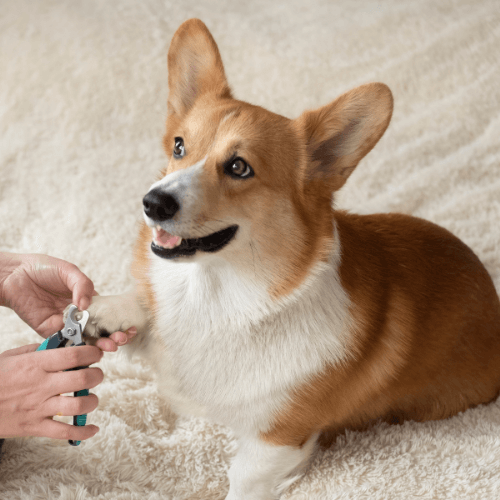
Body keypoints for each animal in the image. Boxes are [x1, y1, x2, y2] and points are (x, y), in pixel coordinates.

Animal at [77, 17, 500, 498]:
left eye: (239, 167)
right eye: (179, 147)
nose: (152, 202)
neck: (216, 296)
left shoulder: (276, 441)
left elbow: (244, 480)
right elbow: (144, 304)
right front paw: (106, 310)